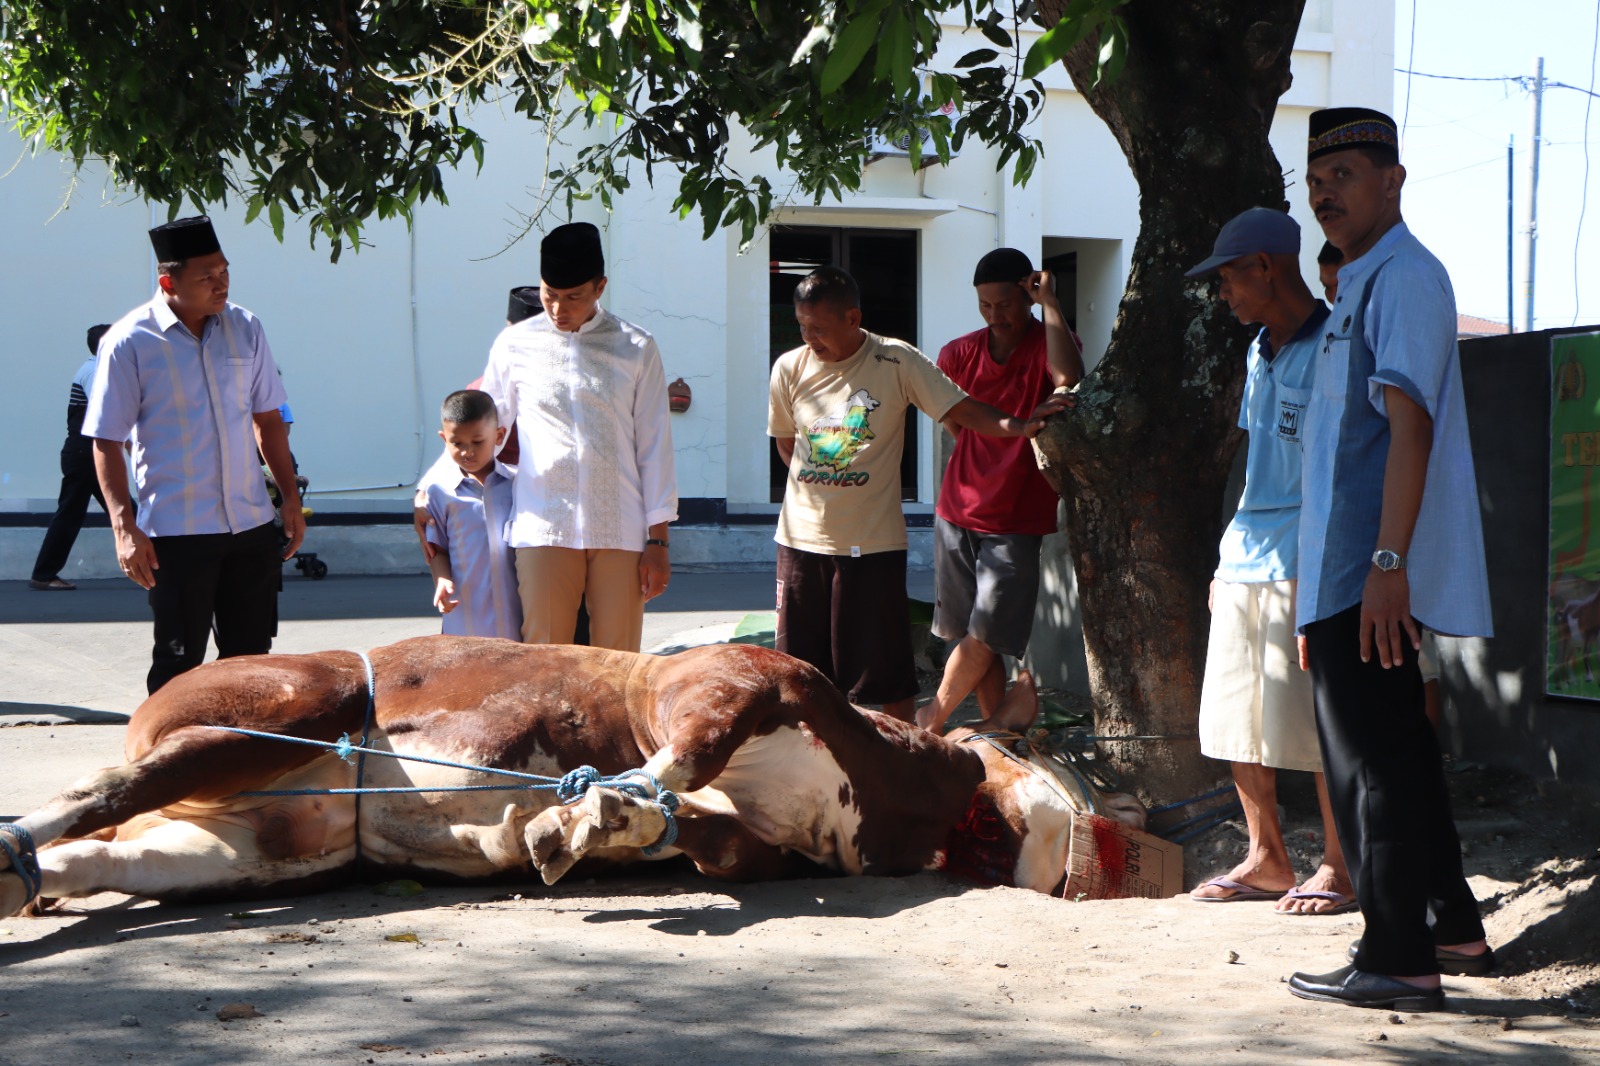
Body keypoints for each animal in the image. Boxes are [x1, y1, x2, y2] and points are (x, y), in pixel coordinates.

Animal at [3, 630, 1113, 915]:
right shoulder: (726, 684)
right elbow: (682, 754)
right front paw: (571, 818)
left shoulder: (747, 839)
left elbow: (680, 823)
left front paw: (581, 824)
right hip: (291, 709)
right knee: (99, 796)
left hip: (259, 843)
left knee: (105, 856)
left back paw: (30, 881)